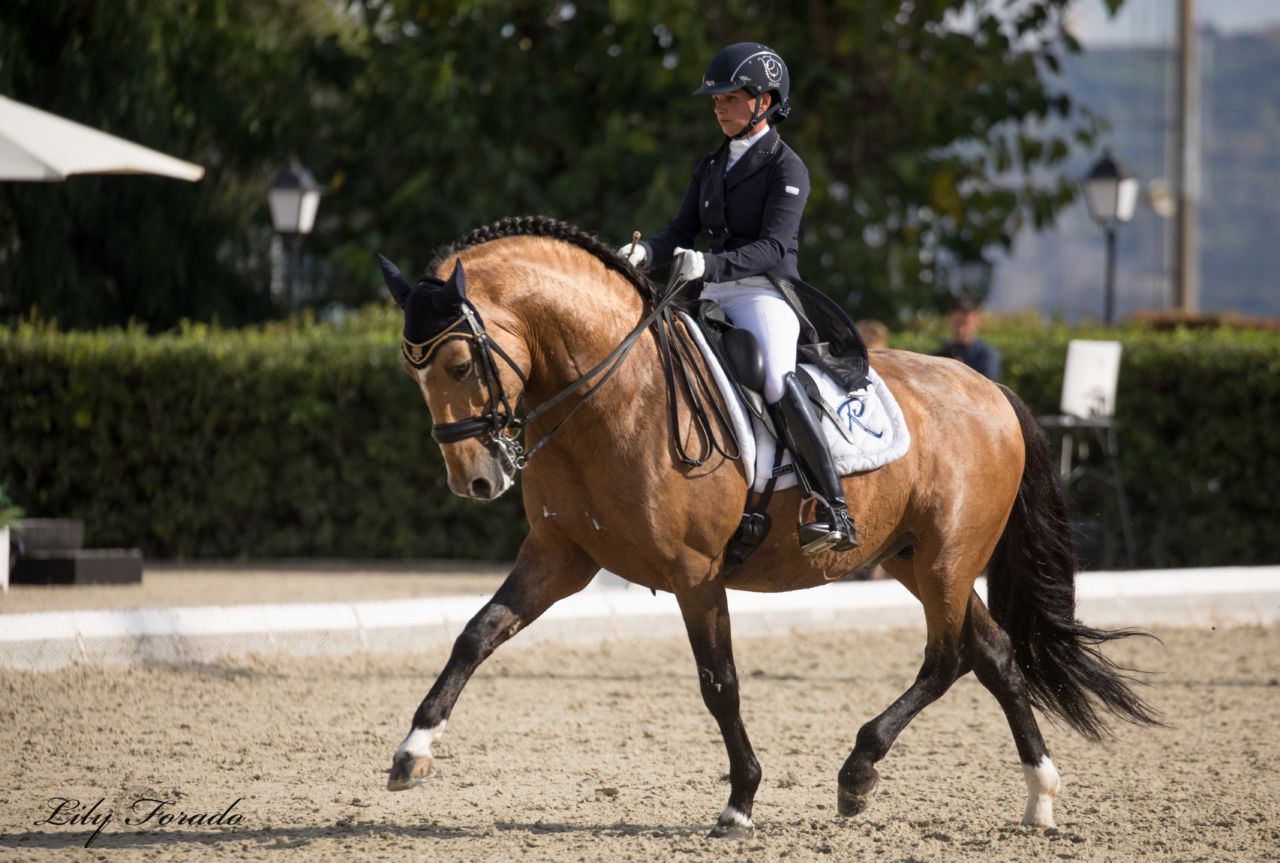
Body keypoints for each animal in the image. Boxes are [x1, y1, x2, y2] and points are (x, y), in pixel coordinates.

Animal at [373, 213, 1157, 834]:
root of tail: (989, 388)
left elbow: (719, 682)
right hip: (914, 557)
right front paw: (413, 751)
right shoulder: (559, 554)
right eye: (411, 371)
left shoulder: (694, 573)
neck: (613, 394)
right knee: (992, 654)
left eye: (456, 361)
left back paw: (858, 772)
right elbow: (477, 633)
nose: (475, 480)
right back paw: (1039, 797)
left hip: (946, 558)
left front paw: (741, 801)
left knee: (947, 658)